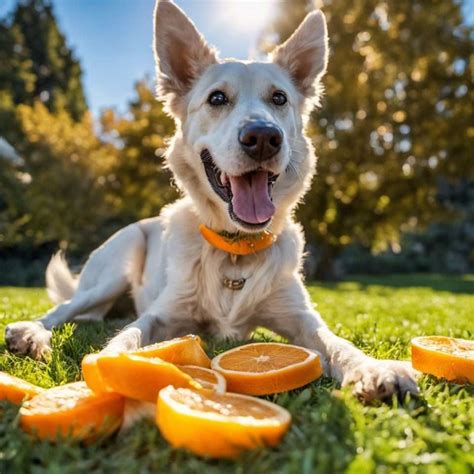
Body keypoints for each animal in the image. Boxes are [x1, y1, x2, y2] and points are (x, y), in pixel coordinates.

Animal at [4, 0, 418, 404]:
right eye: (217, 98)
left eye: (279, 98)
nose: (263, 137)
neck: (234, 251)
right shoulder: (162, 314)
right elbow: (129, 337)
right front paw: (108, 365)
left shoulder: (302, 318)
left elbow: (337, 344)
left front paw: (374, 369)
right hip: (114, 268)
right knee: (66, 309)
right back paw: (31, 334)